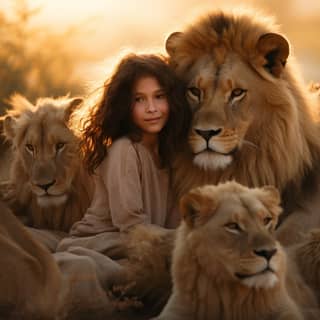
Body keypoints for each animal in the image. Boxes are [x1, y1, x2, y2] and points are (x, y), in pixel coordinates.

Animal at [156, 182, 320, 320]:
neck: (232, 296)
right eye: (233, 226)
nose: (269, 252)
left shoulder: (286, 310)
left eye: (266, 220)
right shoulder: (176, 309)